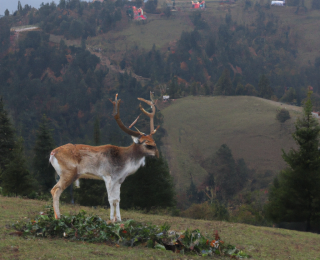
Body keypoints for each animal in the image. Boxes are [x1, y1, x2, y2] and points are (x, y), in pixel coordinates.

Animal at [49, 93, 158, 221]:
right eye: (147, 144)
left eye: (154, 142)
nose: (157, 154)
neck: (124, 164)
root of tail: (52, 153)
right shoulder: (107, 175)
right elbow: (111, 199)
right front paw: (111, 218)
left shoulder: (119, 179)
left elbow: (117, 199)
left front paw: (118, 219)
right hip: (68, 172)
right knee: (55, 190)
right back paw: (58, 217)